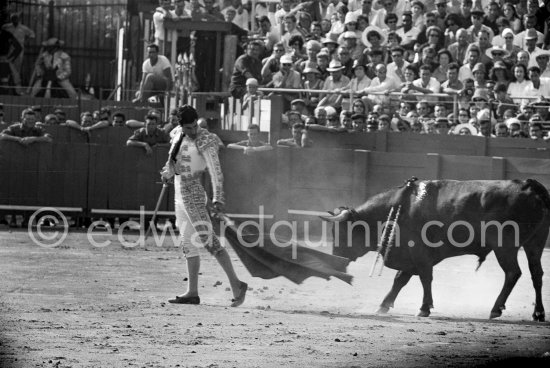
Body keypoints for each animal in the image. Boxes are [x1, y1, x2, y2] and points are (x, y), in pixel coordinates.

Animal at [324, 177, 550, 320]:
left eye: (342, 232)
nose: (335, 261)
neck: (397, 209)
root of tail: (531, 185)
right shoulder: (410, 255)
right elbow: (400, 280)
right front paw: (383, 305)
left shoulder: (419, 252)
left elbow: (425, 277)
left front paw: (424, 308)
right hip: (535, 244)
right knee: (536, 274)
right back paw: (538, 313)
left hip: (505, 246)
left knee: (513, 273)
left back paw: (495, 309)